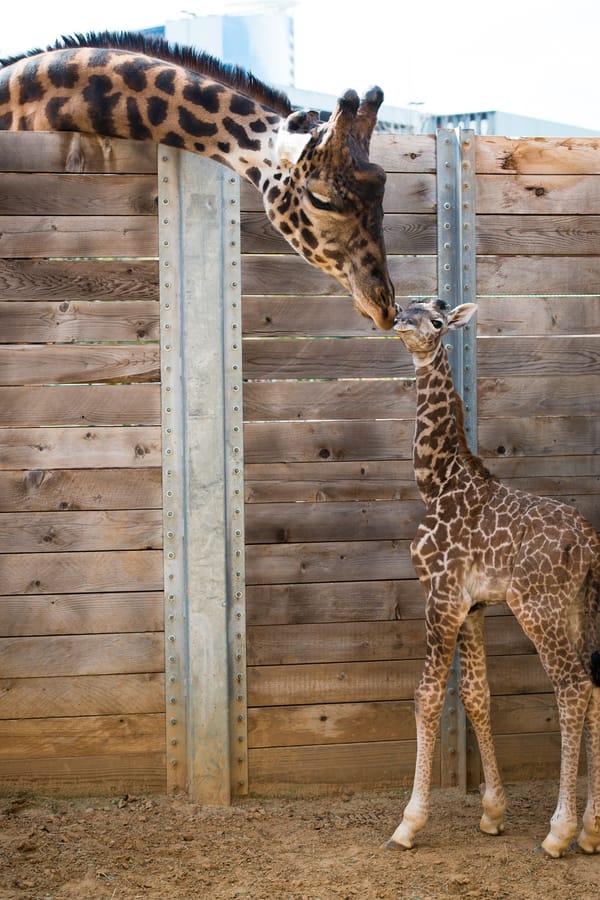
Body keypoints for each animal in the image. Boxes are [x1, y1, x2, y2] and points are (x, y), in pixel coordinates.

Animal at [386, 297, 600, 858]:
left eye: (437, 320)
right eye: (410, 304)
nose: (399, 321)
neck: (437, 482)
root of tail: (589, 546)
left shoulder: (439, 595)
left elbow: (427, 695)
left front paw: (409, 824)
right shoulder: (474, 605)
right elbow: (478, 696)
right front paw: (492, 812)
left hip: (537, 605)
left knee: (573, 686)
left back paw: (559, 832)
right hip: (578, 606)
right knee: (595, 683)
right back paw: (591, 831)